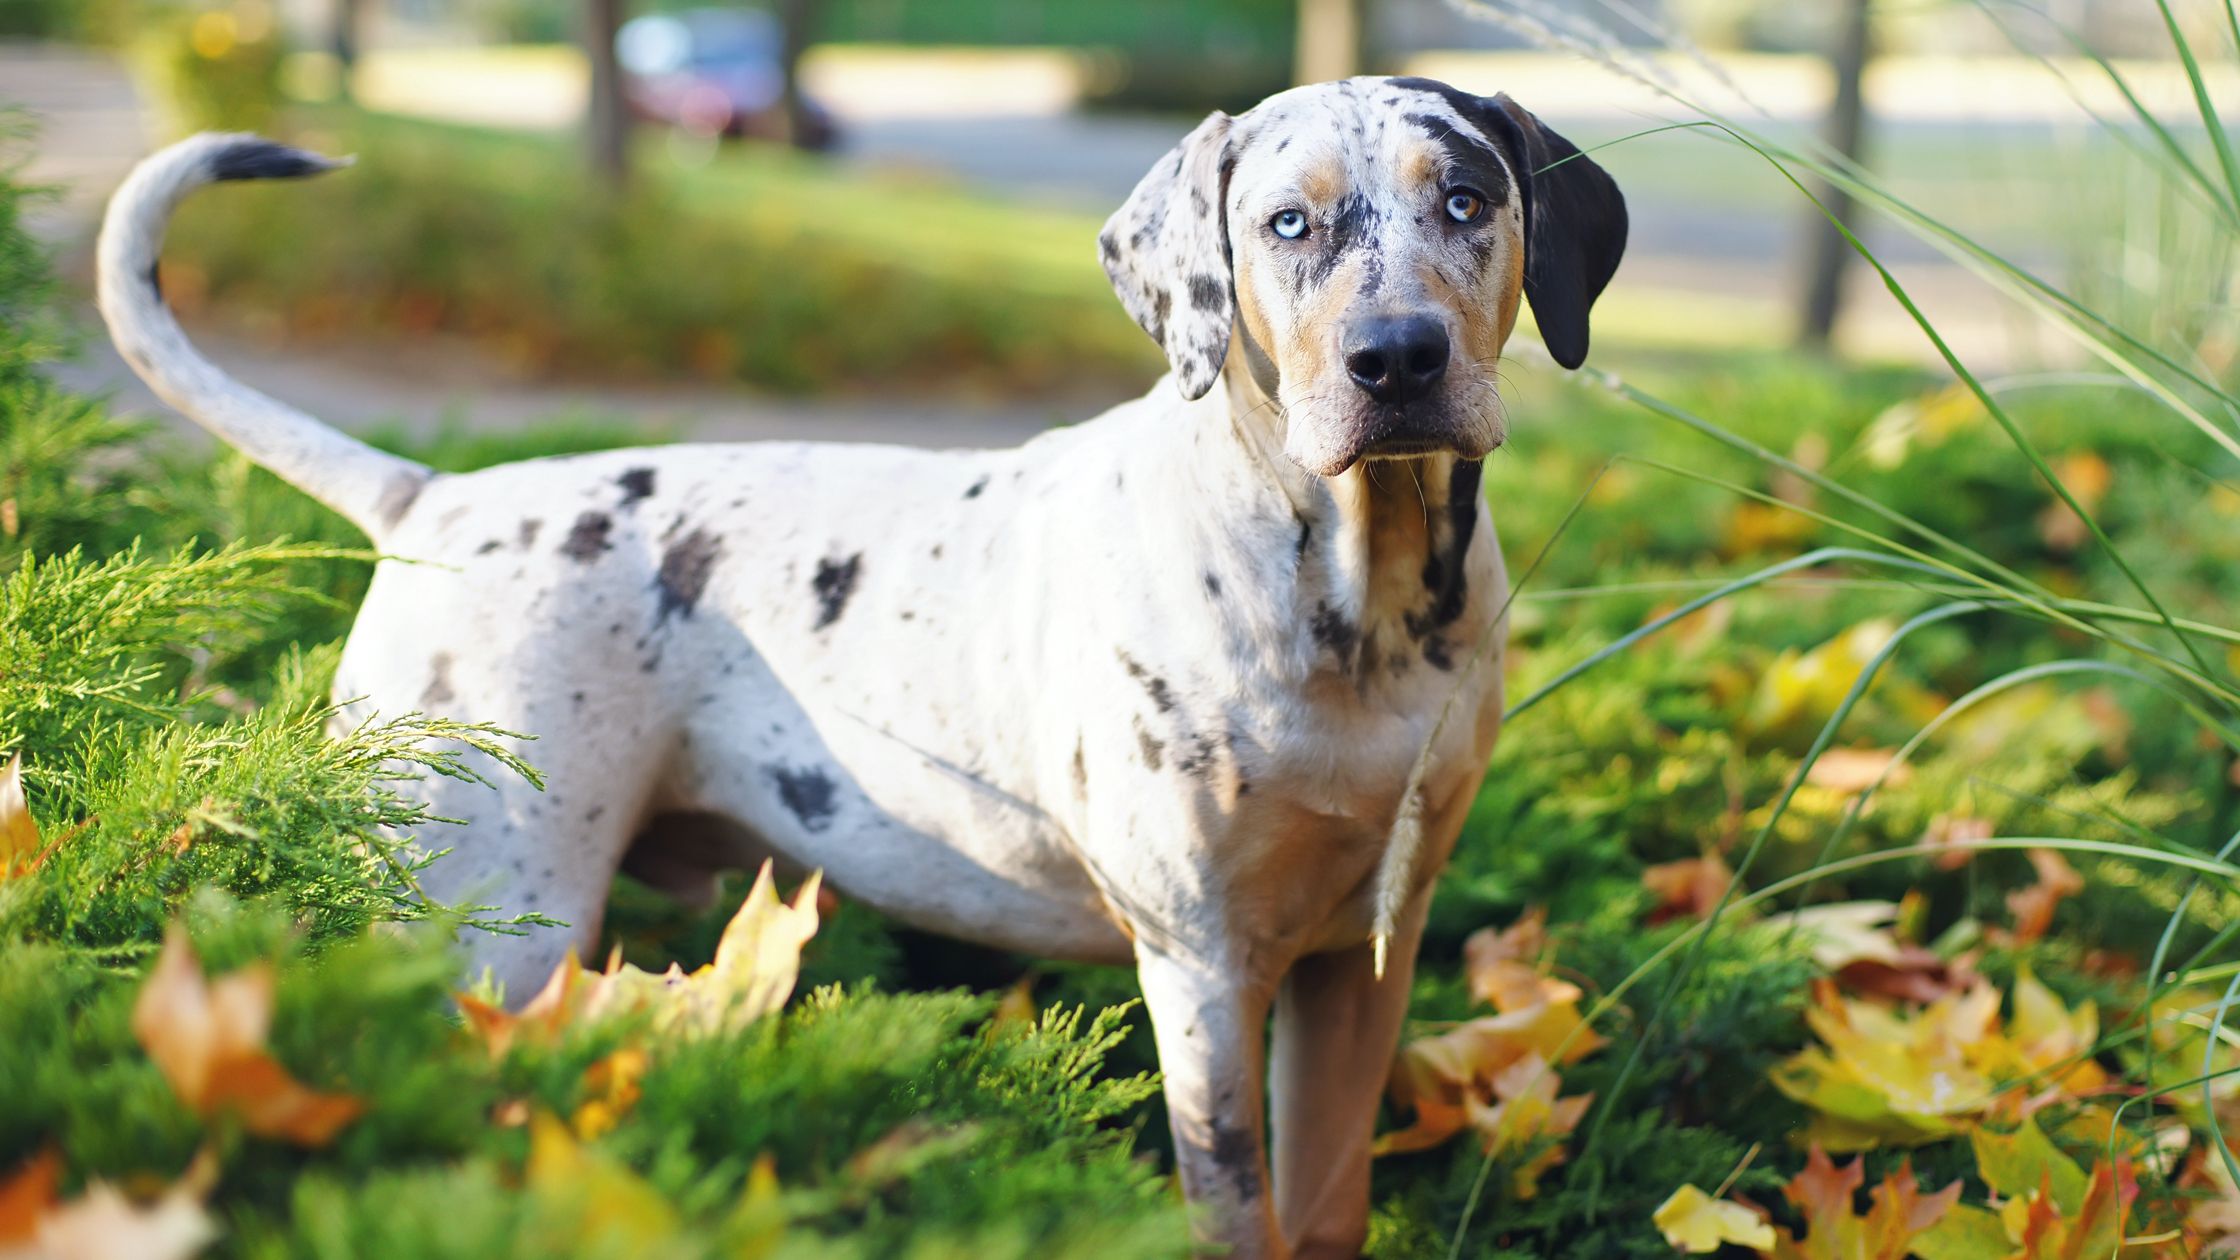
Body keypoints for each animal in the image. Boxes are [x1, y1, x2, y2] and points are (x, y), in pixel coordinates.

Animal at [100, 80, 1630, 1255]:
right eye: (1287, 223)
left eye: (1466, 200)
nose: (1397, 359)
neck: (1365, 605)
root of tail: (432, 502)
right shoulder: (1202, 969)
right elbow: (1230, 1210)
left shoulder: (1361, 958)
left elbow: (1322, 1207)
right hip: (485, 916)